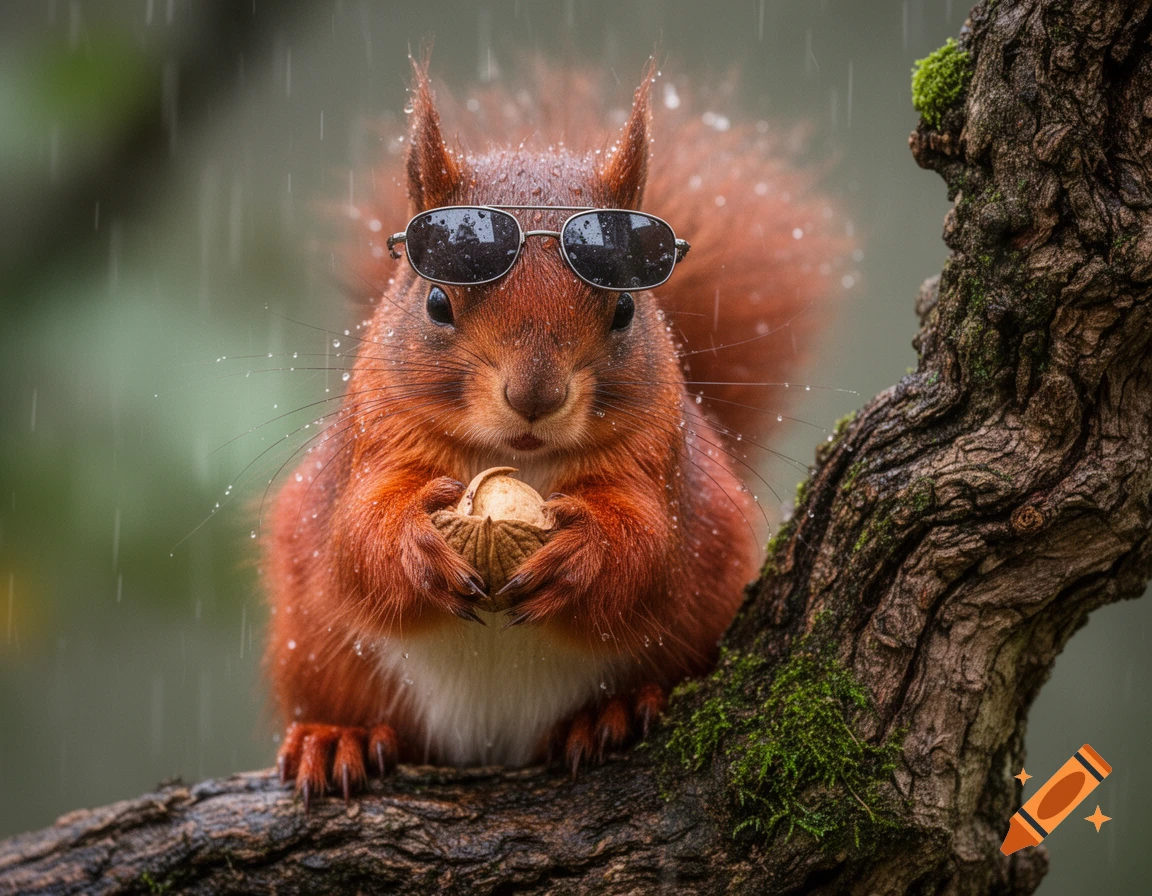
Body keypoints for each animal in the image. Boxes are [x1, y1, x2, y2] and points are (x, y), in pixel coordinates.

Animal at [265, 57, 850, 804]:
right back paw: (338, 734)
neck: (521, 460)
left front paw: (582, 555)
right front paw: (415, 546)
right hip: (315, 650)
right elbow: (358, 532)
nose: (534, 396)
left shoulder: (660, 460)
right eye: (436, 303)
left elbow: (651, 547)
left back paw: (611, 714)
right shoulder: (373, 438)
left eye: (626, 310)